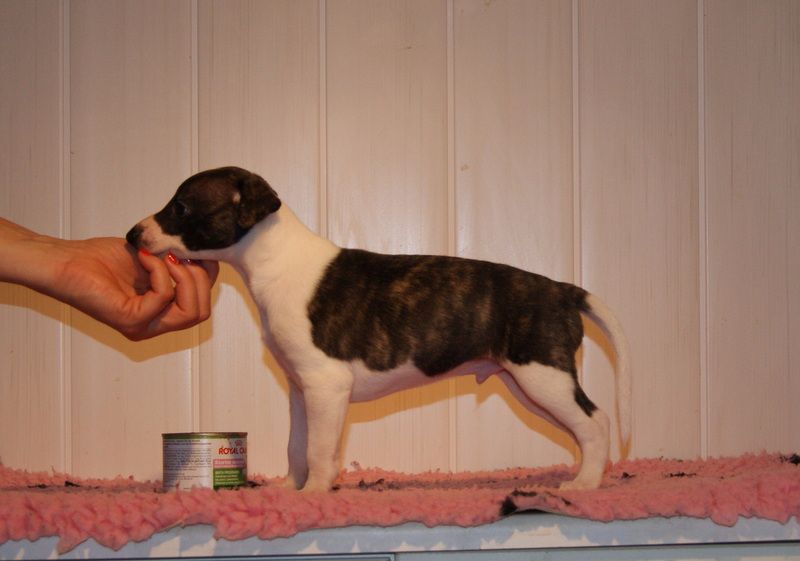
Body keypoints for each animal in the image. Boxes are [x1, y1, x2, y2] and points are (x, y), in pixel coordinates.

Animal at [127, 166, 631, 492]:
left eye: (181, 207)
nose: (132, 236)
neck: (274, 261)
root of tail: (563, 290)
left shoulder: (326, 385)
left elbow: (319, 449)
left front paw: (314, 495)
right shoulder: (301, 390)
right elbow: (296, 445)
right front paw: (289, 491)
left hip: (543, 374)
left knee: (595, 422)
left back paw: (585, 483)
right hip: (529, 383)